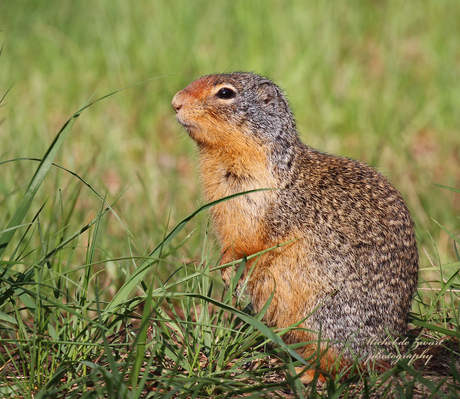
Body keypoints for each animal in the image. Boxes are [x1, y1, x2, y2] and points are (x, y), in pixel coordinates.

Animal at [172, 72, 420, 384]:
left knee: (344, 364)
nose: (175, 102)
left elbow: (251, 243)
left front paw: (229, 271)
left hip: (323, 317)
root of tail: (389, 350)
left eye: (225, 93)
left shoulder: (258, 207)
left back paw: (307, 372)